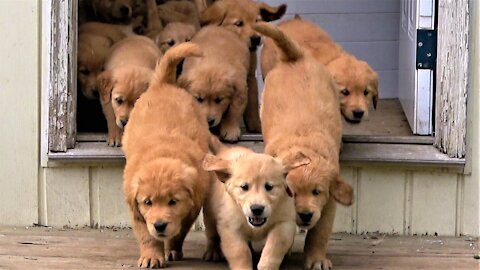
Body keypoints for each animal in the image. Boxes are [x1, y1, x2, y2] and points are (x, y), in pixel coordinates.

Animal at [122, 42, 208, 268]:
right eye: (148, 202)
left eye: (173, 201)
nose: (160, 225)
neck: (164, 151)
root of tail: (163, 83)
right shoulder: (136, 211)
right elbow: (147, 235)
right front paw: (151, 256)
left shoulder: (192, 206)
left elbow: (178, 232)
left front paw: (171, 250)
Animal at [202, 137, 308, 270]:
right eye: (244, 187)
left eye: (269, 187)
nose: (257, 209)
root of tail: (226, 149)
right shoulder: (230, 228)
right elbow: (240, 252)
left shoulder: (284, 223)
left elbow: (274, 246)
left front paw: (266, 266)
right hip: (209, 212)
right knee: (211, 232)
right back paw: (212, 251)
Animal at [253, 22, 354, 270]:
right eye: (292, 193)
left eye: (316, 192)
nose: (305, 215)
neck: (303, 148)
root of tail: (294, 57)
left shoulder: (327, 206)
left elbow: (319, 233)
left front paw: (316, 259)